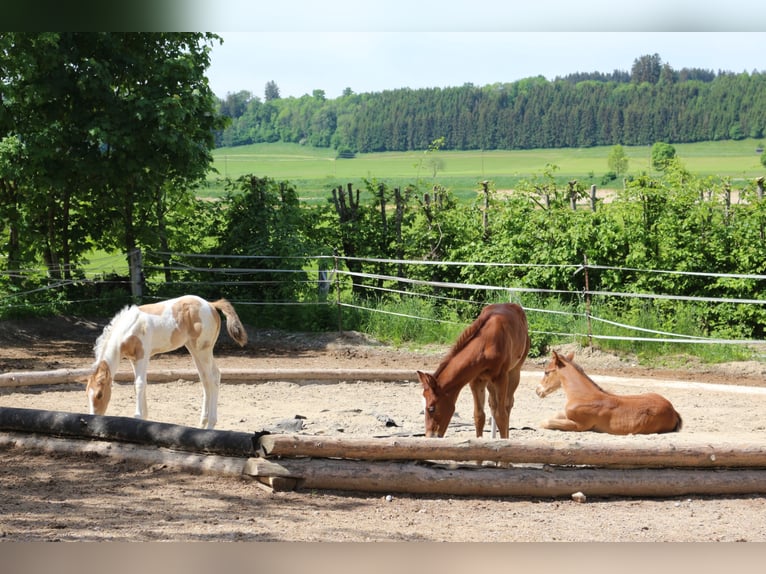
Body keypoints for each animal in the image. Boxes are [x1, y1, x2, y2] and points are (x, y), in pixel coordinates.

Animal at [85, 295, 248, 429]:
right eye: (87, 394)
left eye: (99, 394)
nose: (93, 419)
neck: (127, 329)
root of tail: (211, 304)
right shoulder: (133, 359)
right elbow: (140, 384)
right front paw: (144, 417)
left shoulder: (143, 356)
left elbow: (139, 384)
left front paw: (138, 417)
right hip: (194, 349)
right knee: (205, 379)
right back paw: (202, 424)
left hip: (203, 350)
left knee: (213, 377)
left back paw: (210, 425)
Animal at [417, 303, 530, 438]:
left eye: (431, 408)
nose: (430, 436)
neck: (485, 344)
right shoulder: (476, 380)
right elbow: (479, 416)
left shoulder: (501, 378)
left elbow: (501, 415)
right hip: (489, 382)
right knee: (492, 404)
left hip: (514, 371)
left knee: (507, 405)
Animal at [535, 350, 683, 434]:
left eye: (546, 372)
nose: (537, 390)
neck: (584, 395)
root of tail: (673, 410)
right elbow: (554, 415)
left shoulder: (580, 425)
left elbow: (545, 422)